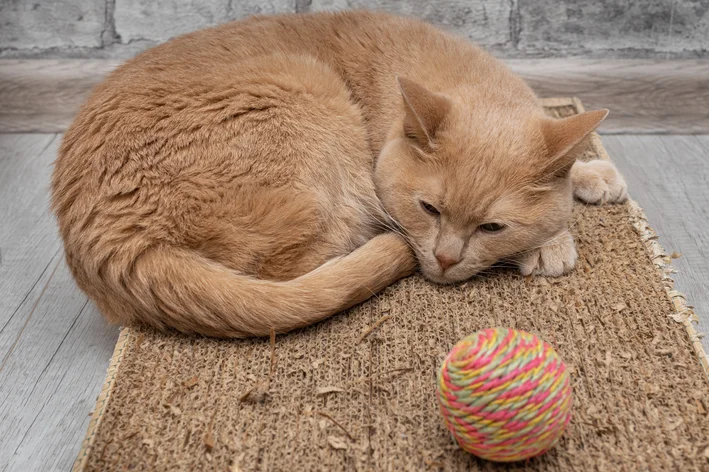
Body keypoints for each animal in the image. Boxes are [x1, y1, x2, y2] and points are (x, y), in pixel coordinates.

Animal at [51, 10, 624, 336]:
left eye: (491, 227)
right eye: (429, 209)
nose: (443, 259)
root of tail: (103, 238)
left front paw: (591, 174)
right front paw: (551, 242)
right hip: (310, 97)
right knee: (297, 267)